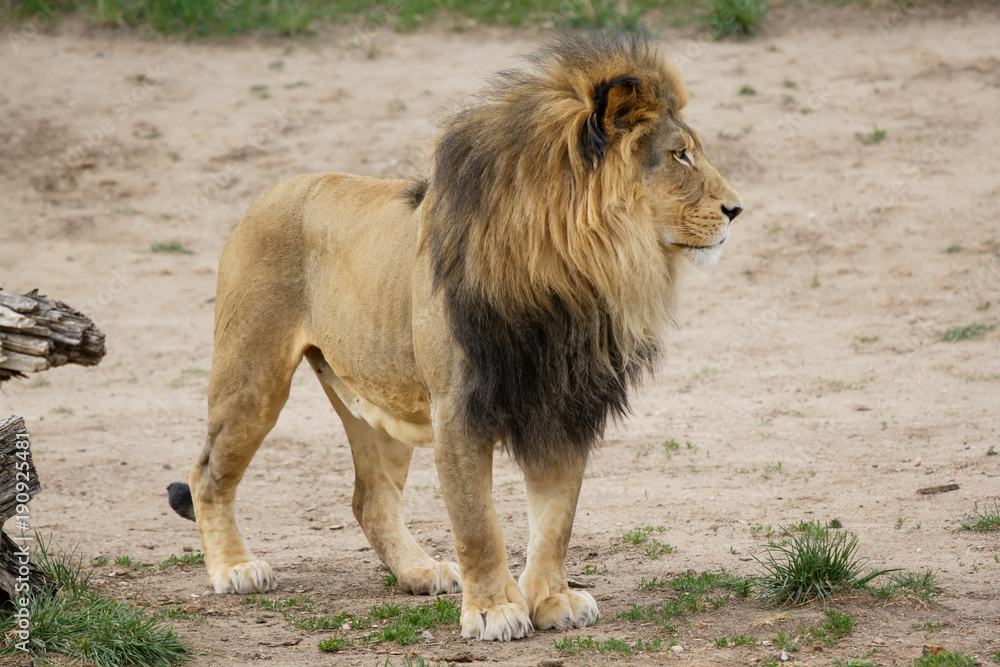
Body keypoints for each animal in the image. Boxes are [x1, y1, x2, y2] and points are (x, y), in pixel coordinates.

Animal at [168, 32, 740, 640]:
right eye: (680, 155)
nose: (737, 209)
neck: (573, 268)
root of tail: (269, 192)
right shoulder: (459, 408)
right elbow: (478, 523)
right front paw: (492, 610)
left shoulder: (563, 404)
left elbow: (556, 520)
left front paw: (552, 600)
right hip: (253, 378)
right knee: (207, 474)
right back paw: (235, 569)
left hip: (376, 399)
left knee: (370, 499)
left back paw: (419, 571)